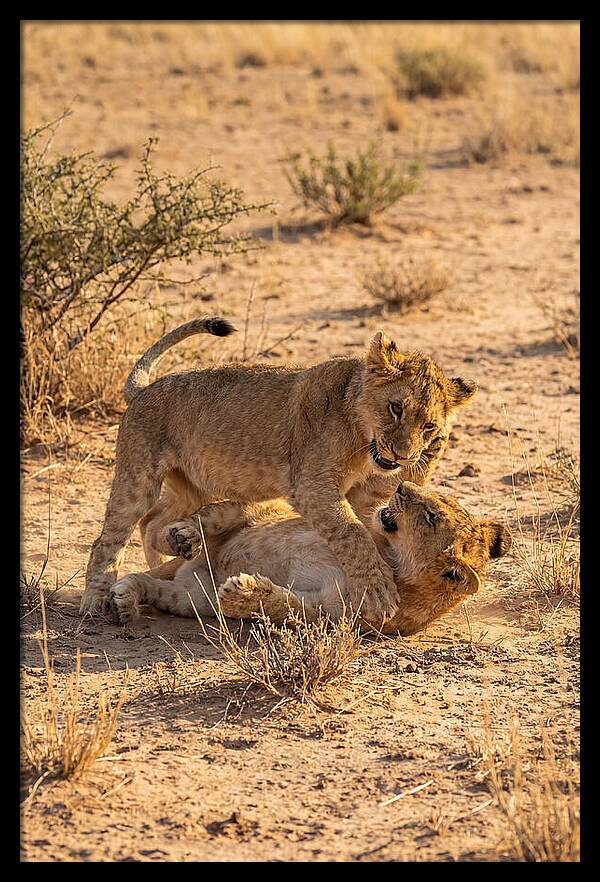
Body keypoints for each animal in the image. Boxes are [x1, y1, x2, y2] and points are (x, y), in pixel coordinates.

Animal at [82, 317, 477, 624]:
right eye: (396, 408)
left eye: (428, 426)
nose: (402, 455)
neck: (363, 440)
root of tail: (144, 389)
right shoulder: (312, 486)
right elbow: (352, 534)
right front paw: (378, 591)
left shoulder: (366, 496)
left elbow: (367, 526)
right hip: (139, 476)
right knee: (109, 539)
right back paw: (98, 600)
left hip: (193, 486)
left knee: (153, 522)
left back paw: (173, 553)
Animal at [109, 481, 511, 635]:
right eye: (436, 500)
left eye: (431, 516)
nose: (400, 486)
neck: (389, 556)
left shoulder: (329, 614)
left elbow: (284, 606)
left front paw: (243, 593)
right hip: (254, 509)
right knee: (212, 514)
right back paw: (182, 536)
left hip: (192, 598)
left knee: (154, 586)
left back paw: (125, 599)